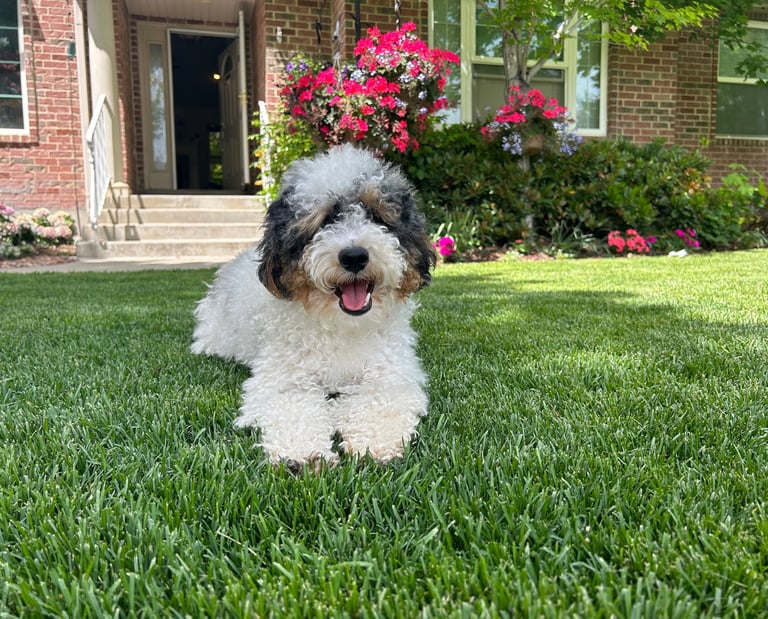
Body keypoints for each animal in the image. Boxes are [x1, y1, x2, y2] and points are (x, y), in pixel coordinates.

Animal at [191, 144, 436, 469]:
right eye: (324, 221)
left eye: (375, 215)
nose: (354, 256)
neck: (341, 327)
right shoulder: (283, 379)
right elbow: (294, 409)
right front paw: (302, 454)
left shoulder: (390, 375)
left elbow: (379, 404)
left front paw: (373, 444)